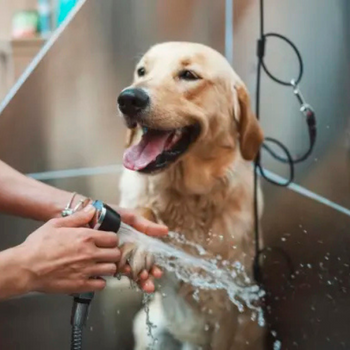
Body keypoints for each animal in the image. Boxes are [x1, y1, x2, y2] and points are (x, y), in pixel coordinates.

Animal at [116, 41, 264, 350]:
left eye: (188, 75)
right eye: (142, 71)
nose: (128, 99)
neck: (186, 196)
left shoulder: (226, 309)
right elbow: (143, 209)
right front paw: (139, 242)